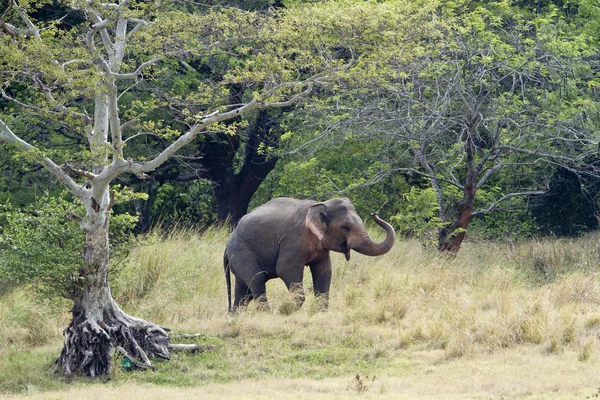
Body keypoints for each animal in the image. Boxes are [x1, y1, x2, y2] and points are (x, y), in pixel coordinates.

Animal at [223, 197, 396, 312]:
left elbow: (324, 271)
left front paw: (321, 313)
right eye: (345, 227)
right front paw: (286, 310)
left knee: (244, 291)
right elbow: (285, 269)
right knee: (257, 279)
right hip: (241, 251)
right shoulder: (293, 240)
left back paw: (236, 315)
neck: (321, 204)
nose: (375, 213)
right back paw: (267, 314)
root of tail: (227, 246)